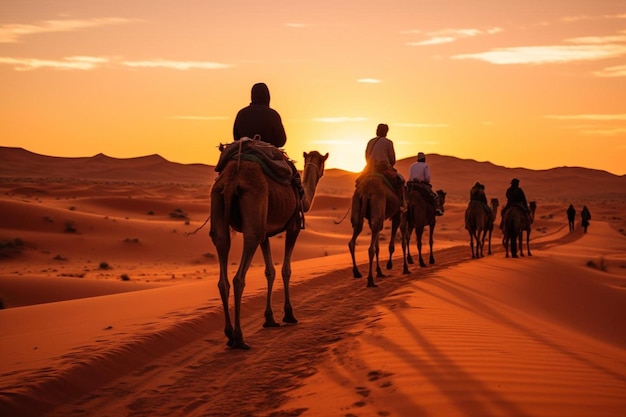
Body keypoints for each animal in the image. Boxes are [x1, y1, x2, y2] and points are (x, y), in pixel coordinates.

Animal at [208, 150, 326, 348]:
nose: (322, 172)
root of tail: (231, 180)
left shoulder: (266, 234)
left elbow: (270, 271)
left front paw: (270, 318)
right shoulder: (293, 226)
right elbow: (286, 270)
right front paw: (289, 314)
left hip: (218, 202)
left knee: (222, 254)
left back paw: (229, 334)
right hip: (253, 216)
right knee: (239, 277)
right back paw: (239, 338)